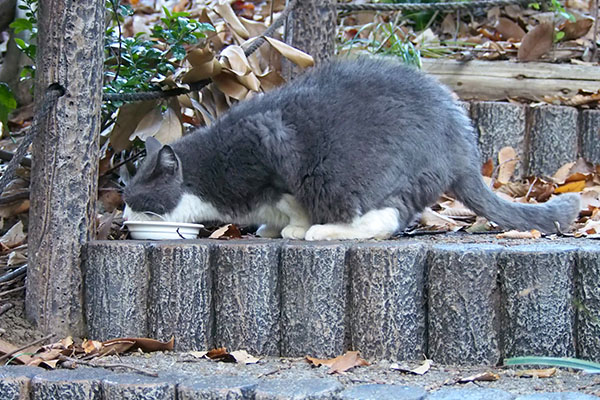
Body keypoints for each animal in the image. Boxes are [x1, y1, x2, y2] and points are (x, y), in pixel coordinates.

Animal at [123, 57, 580, 239]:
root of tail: (463, 146)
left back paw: (321, 231)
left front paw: (293, 227)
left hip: (342, 178)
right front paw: (270, 226)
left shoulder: (271, 150)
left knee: (386, 219)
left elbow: (289, 201)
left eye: (136, 199)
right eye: (124, 198)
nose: (122, 215)